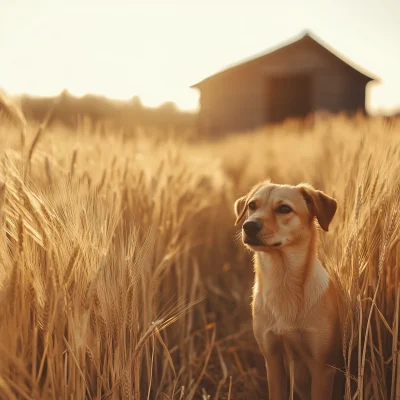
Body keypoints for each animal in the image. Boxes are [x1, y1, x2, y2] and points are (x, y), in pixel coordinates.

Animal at [234, 182, 344, 400]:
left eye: (284, 208)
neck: (283, 280)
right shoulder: (273, 361)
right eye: (252, 205)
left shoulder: (323, 369)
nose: (249, 225)